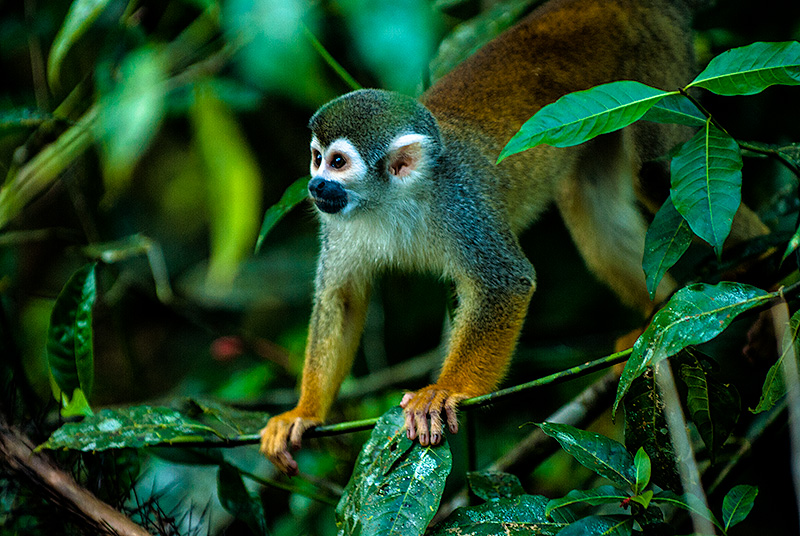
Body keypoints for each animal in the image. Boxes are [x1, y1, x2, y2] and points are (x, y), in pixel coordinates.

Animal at [259, 0, 768, 476]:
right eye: (316, 157)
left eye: (338, 163)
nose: (313, 186)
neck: (393, 200)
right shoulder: (338, 225)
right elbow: (341, 299)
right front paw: (303, 413)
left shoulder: (463, 205)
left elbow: (507, 283)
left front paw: (444, 390)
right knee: (589, 199)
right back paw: (656, 316)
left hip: (657, 67)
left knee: (655, 174)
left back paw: (761, 269)